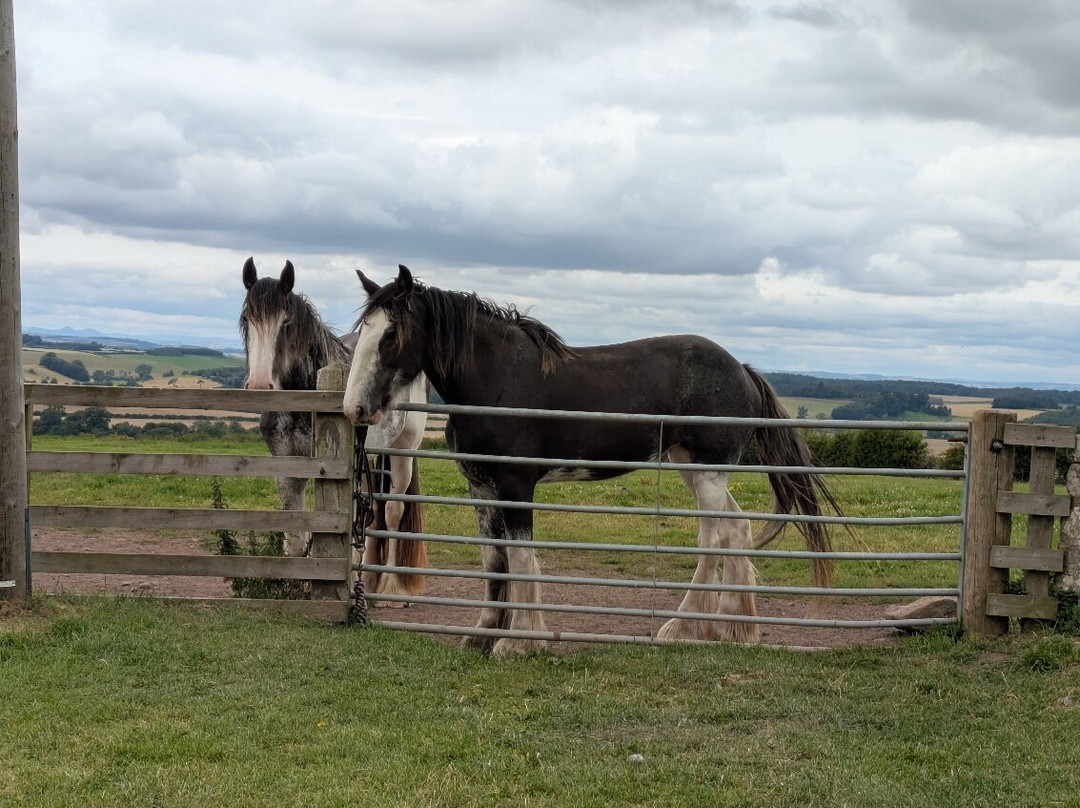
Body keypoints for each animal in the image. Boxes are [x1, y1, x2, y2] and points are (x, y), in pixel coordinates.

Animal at [240, 257, 428, 599]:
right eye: (247, 318)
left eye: (286, 323)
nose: (260, 385)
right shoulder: (287, 467)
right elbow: (296, 532)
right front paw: (295, 586)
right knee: (373, 512)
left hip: (403, 452)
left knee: (392, 512)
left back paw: (390, 588)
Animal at [342, 265, 842, 656]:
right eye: (363, 332)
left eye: (391, 334)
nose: (355, 408)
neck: (498, 381)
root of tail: (742, 369)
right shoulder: (481, 486)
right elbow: (493, 560)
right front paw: (484, 634)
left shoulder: (516, 487)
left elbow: (521, 558)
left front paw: (518, 641)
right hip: (692, 466)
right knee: (736, 530)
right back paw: (735, 629)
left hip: (708, 471)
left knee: (713, 539)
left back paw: (681, 626)